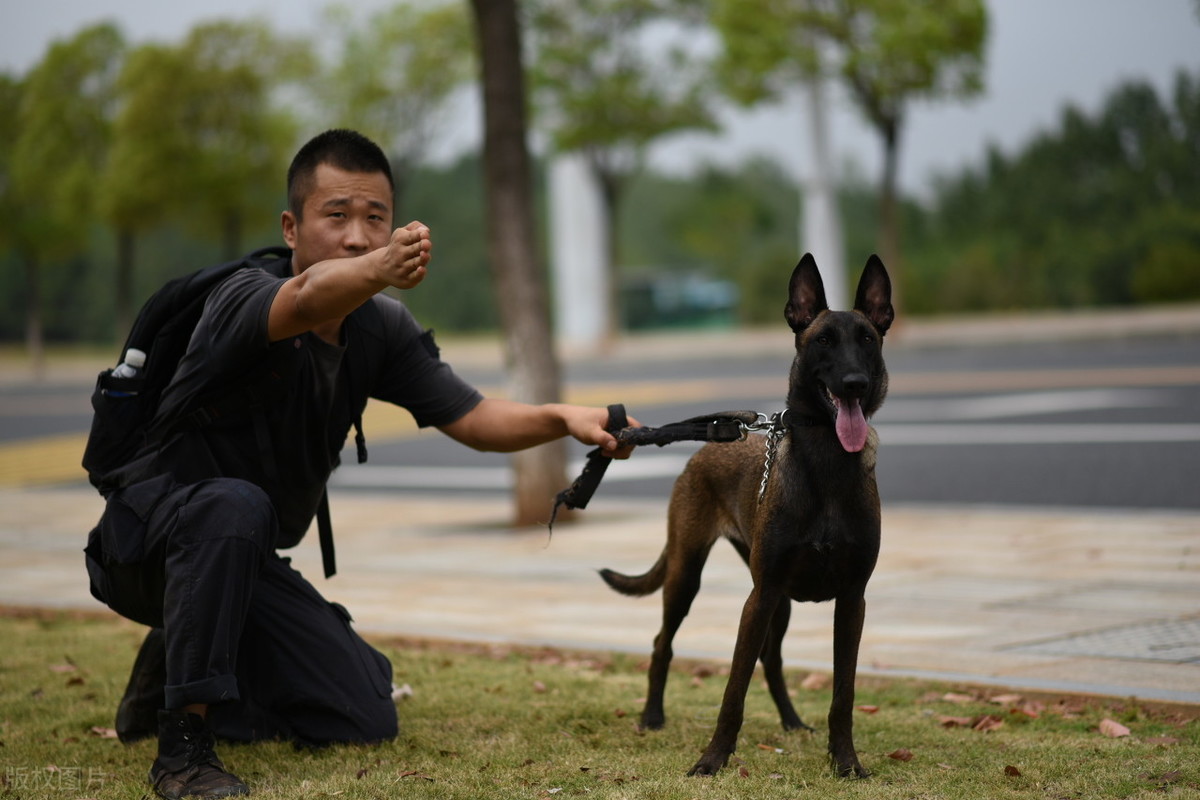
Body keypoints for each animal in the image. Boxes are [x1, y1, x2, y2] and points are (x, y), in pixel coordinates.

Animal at [600, 253, 892, 777]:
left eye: (868, 340)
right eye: (822, 340)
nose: (855, 384)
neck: (826, 464)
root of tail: (712, 441)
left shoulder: (851, 600)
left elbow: (843, 694)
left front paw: (846, 762)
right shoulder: (757, 598)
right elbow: (733, 690)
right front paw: (712, 760)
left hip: (781, 603)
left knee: (772, 661)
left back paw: (792, 721)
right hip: (691, 576)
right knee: (662, 643)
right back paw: (652, 716)